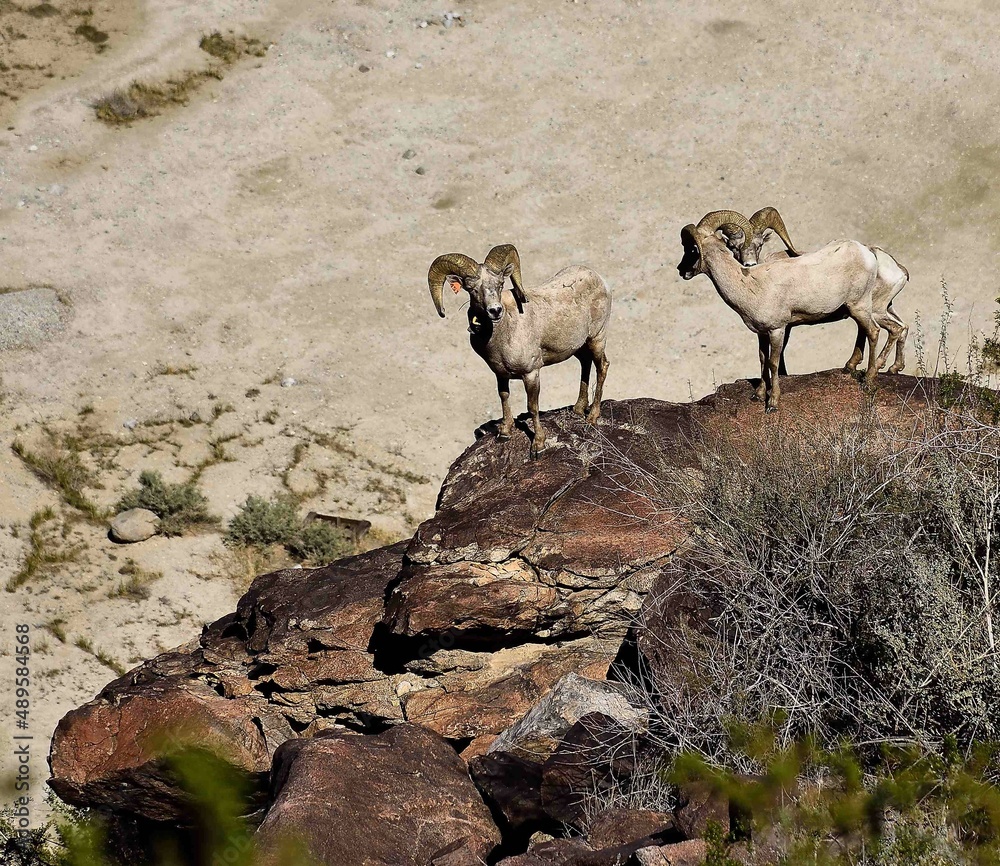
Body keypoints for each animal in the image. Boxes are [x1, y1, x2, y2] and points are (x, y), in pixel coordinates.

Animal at [428, 244, 611, 455]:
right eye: (472, 289)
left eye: (500, 284)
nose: (495, 310)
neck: (503, 333)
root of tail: (600, 279)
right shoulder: (500, 374)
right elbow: (504, 397)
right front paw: (505, 432)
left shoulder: (531, 374)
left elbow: (532, 407)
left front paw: (538, 445)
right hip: (580, 346)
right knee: (585, 364)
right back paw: (579, 409)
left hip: (597, 339)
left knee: (602, 366)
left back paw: (592, 417)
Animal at [677, 210, 909, 412]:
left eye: (692, 249)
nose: (681, 271)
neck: (751, 284)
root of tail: (867, 253)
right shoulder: (762, 333)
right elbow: (762, 359)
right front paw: (758, 395)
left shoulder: (778, 330)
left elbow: (774, 363)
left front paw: (772, 403)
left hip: (861, 307)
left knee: (875, 331)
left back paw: (869, 380)